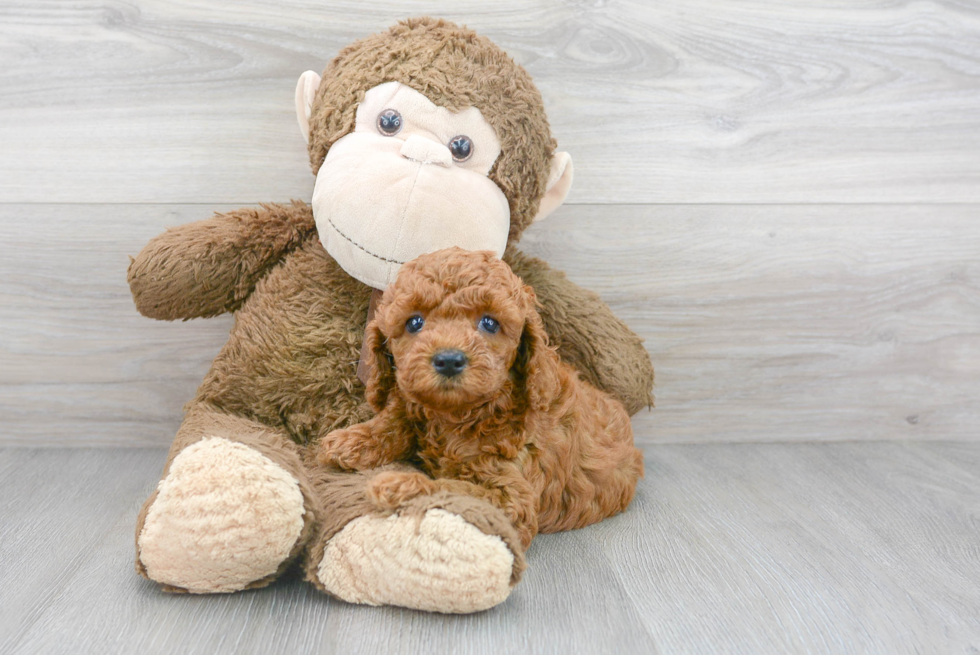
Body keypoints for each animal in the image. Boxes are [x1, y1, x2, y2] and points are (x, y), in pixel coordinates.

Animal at [318, 249, 648, 552]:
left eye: (489, 323)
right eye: (414, 323)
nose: (449, 360)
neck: (460, 414)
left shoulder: (512, 498)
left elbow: (454, 489)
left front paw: (399, 486)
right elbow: (397, 421)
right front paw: (352, 440)